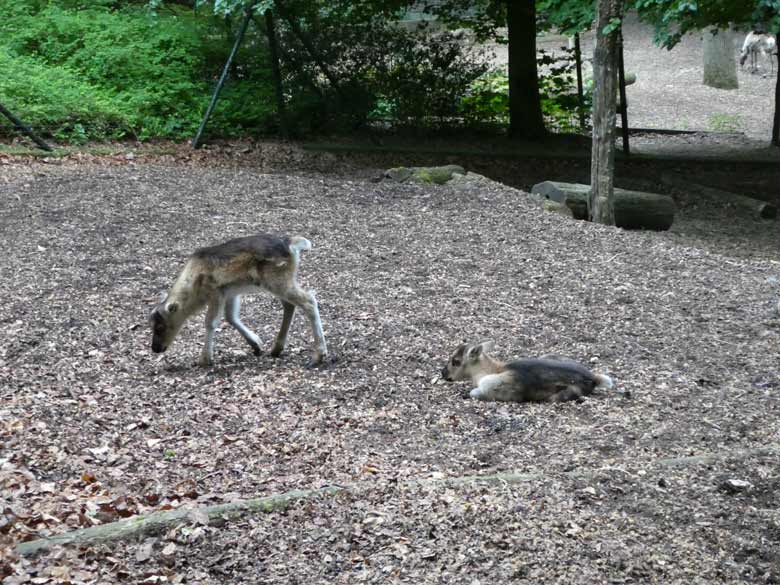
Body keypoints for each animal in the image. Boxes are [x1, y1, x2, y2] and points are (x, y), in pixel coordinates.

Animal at [149, 233, 326, 364]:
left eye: (160, 326)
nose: (155, 348)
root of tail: (293, 244)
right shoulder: (230, 292)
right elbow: (231, 317)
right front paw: (256, 344)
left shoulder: (216, 291)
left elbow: (211, 322)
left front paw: (205, 359)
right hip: (278, 282)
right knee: (289, 305)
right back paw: (276, 349)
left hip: (277, 281)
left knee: (309, 300)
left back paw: (319, 355)